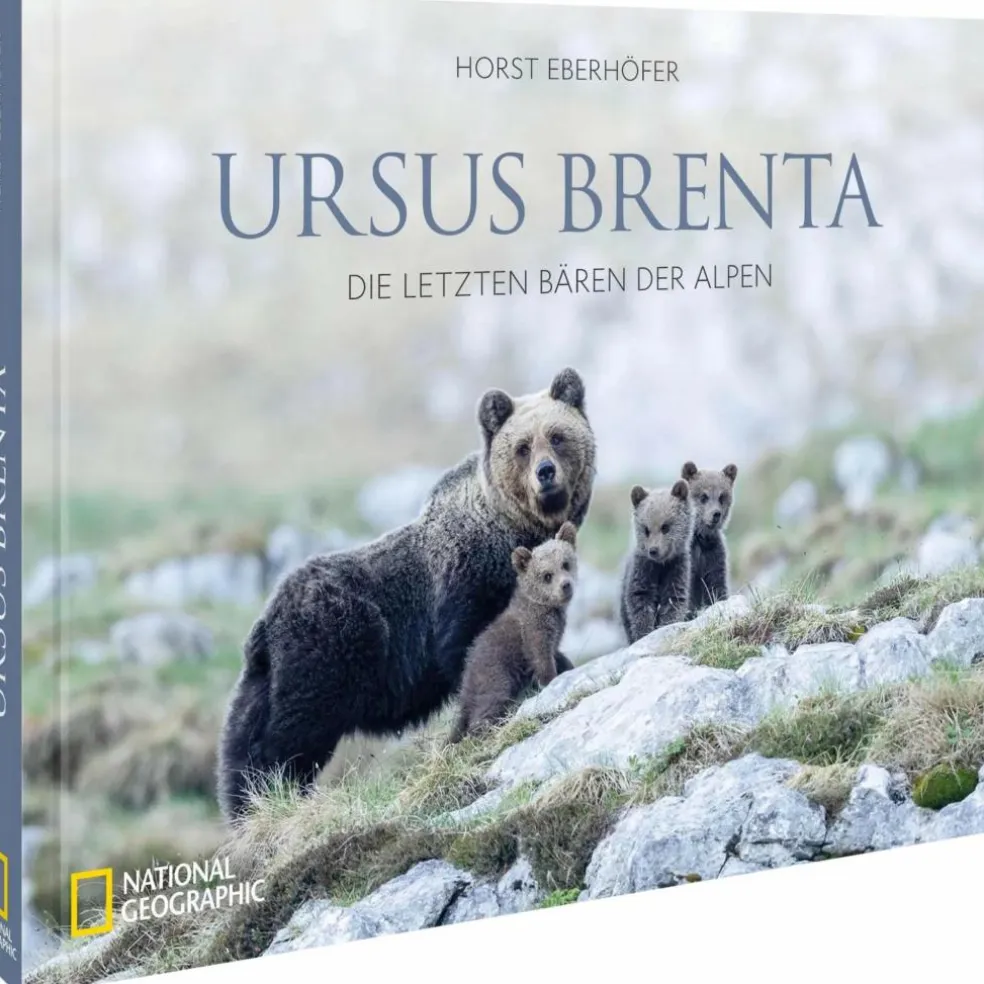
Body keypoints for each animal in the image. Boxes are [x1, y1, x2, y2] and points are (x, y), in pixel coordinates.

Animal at [449, 522, 579, 743]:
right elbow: (542, 660)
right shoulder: (533, 631)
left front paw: (567, 666)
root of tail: (465, 685)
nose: (565, 585)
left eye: (565, 563)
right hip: (495, 675)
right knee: (487, 707)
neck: (546, 609)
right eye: (546, 575)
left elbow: (557, 654)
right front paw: (550, 680)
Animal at [619, 480, 694, 643]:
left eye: (665, 527)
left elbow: (673, 601)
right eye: (646, 529)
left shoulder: (676, 569)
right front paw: (643, 632)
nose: (653, 550)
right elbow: (639, 601)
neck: (661, 565)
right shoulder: (643, 570)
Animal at [680, 461, 738, 614]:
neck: (701, 536)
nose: (716, 514)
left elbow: (716, 585)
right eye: (703, 496)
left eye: (721, 496)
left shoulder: (713, 554)